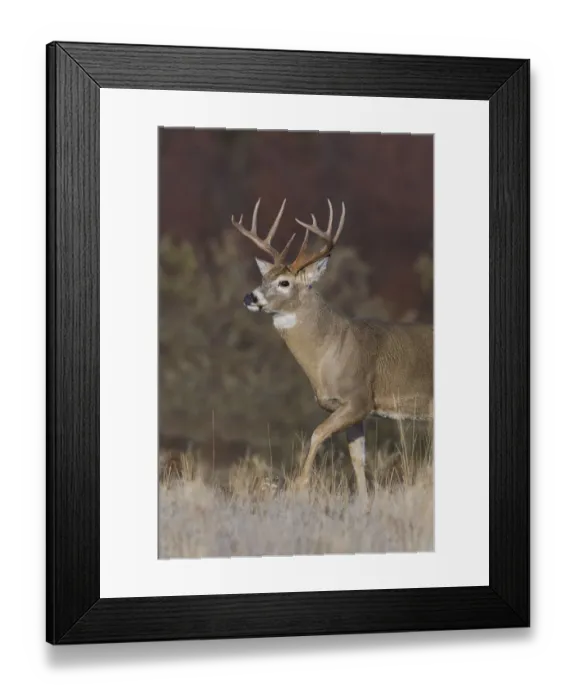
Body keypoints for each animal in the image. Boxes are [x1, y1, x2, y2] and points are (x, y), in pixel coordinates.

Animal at [230, 197, 433, 501]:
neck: (330, 353)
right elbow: (357, 458)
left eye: (284, 282)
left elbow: (316, 433)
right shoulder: (352, 409)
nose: (249, 297)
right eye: (264, 278)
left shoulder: (359, 399)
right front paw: (363, 501)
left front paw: (300, 487)